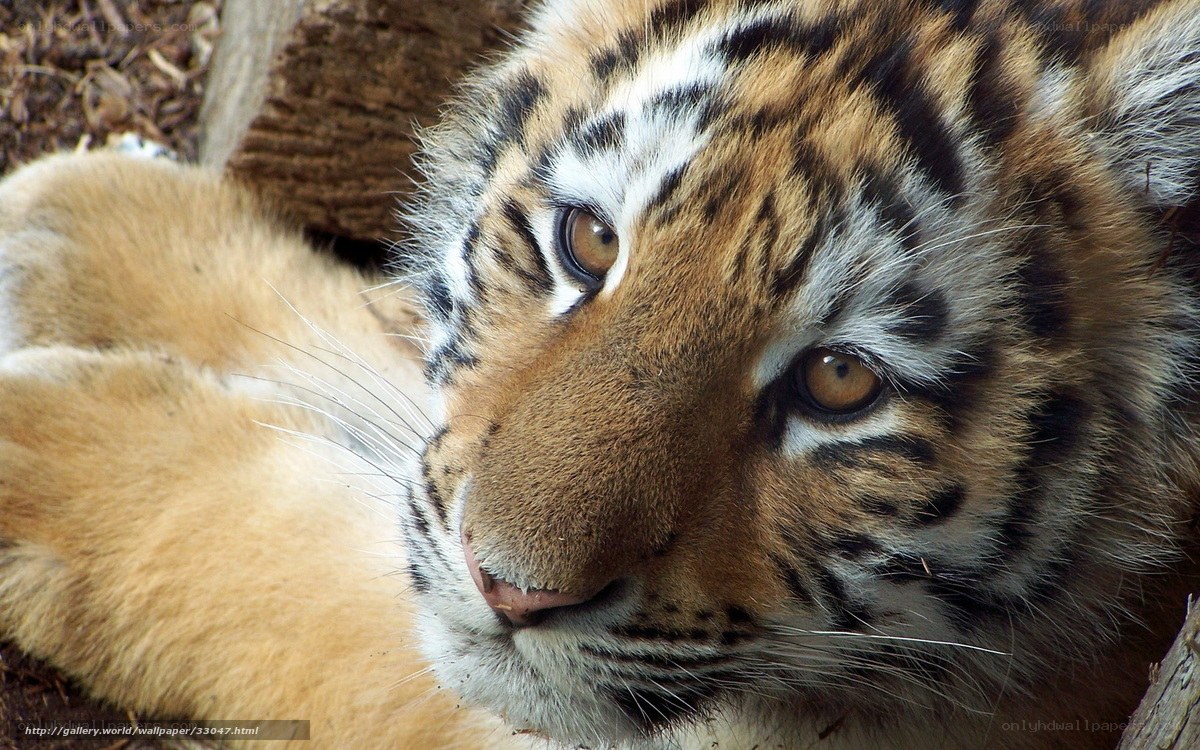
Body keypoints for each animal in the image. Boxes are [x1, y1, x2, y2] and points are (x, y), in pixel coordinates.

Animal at [1, 0, 1199, 748]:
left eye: (840, 382)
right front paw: (83, 230)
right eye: (586, 241)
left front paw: (44, 455)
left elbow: (294, 571)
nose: (509, 590)